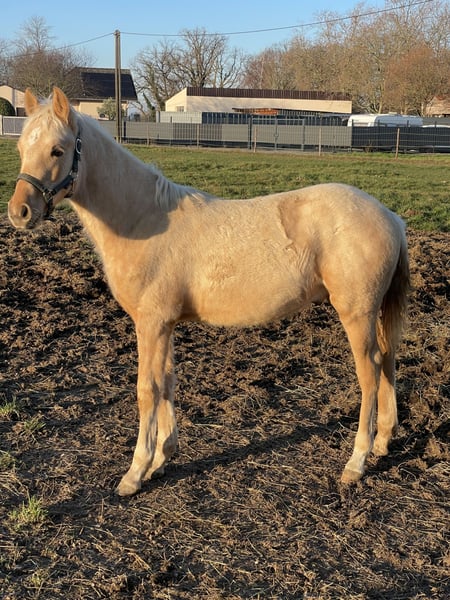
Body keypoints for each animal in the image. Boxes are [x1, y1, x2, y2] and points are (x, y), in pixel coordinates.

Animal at [8, 88, 410, 497]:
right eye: (22, 147)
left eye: (58, 150)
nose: (19, 212)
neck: (143, 219)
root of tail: (391, 218)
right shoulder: (166, 325)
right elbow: (168, 382)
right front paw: (162, 460)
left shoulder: (151, 324)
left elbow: (148, 389)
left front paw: (135, 473)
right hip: (373, 312)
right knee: (388, 359)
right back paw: (382, 442)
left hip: (356, 313)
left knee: (369, 374)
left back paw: (356, 463)